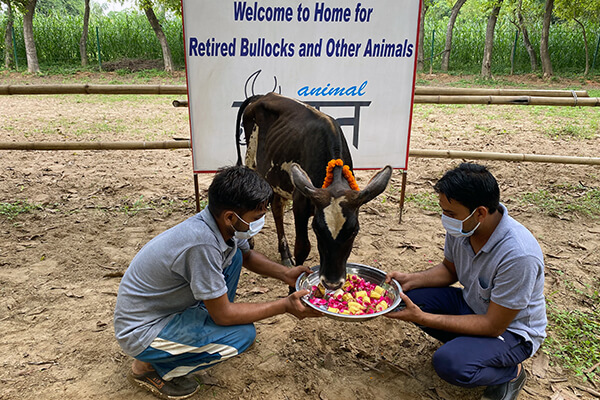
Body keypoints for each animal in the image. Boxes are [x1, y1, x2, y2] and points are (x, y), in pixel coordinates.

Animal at [237, 92, 392, 290]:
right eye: (316, 229)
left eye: (354, 231)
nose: (332, 283)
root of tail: (263, 95)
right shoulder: (301, 204)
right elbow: (302, 247)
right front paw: (292, 288)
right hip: (251, 161)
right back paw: (250, 241)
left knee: (277, 209)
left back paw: (284, 253)